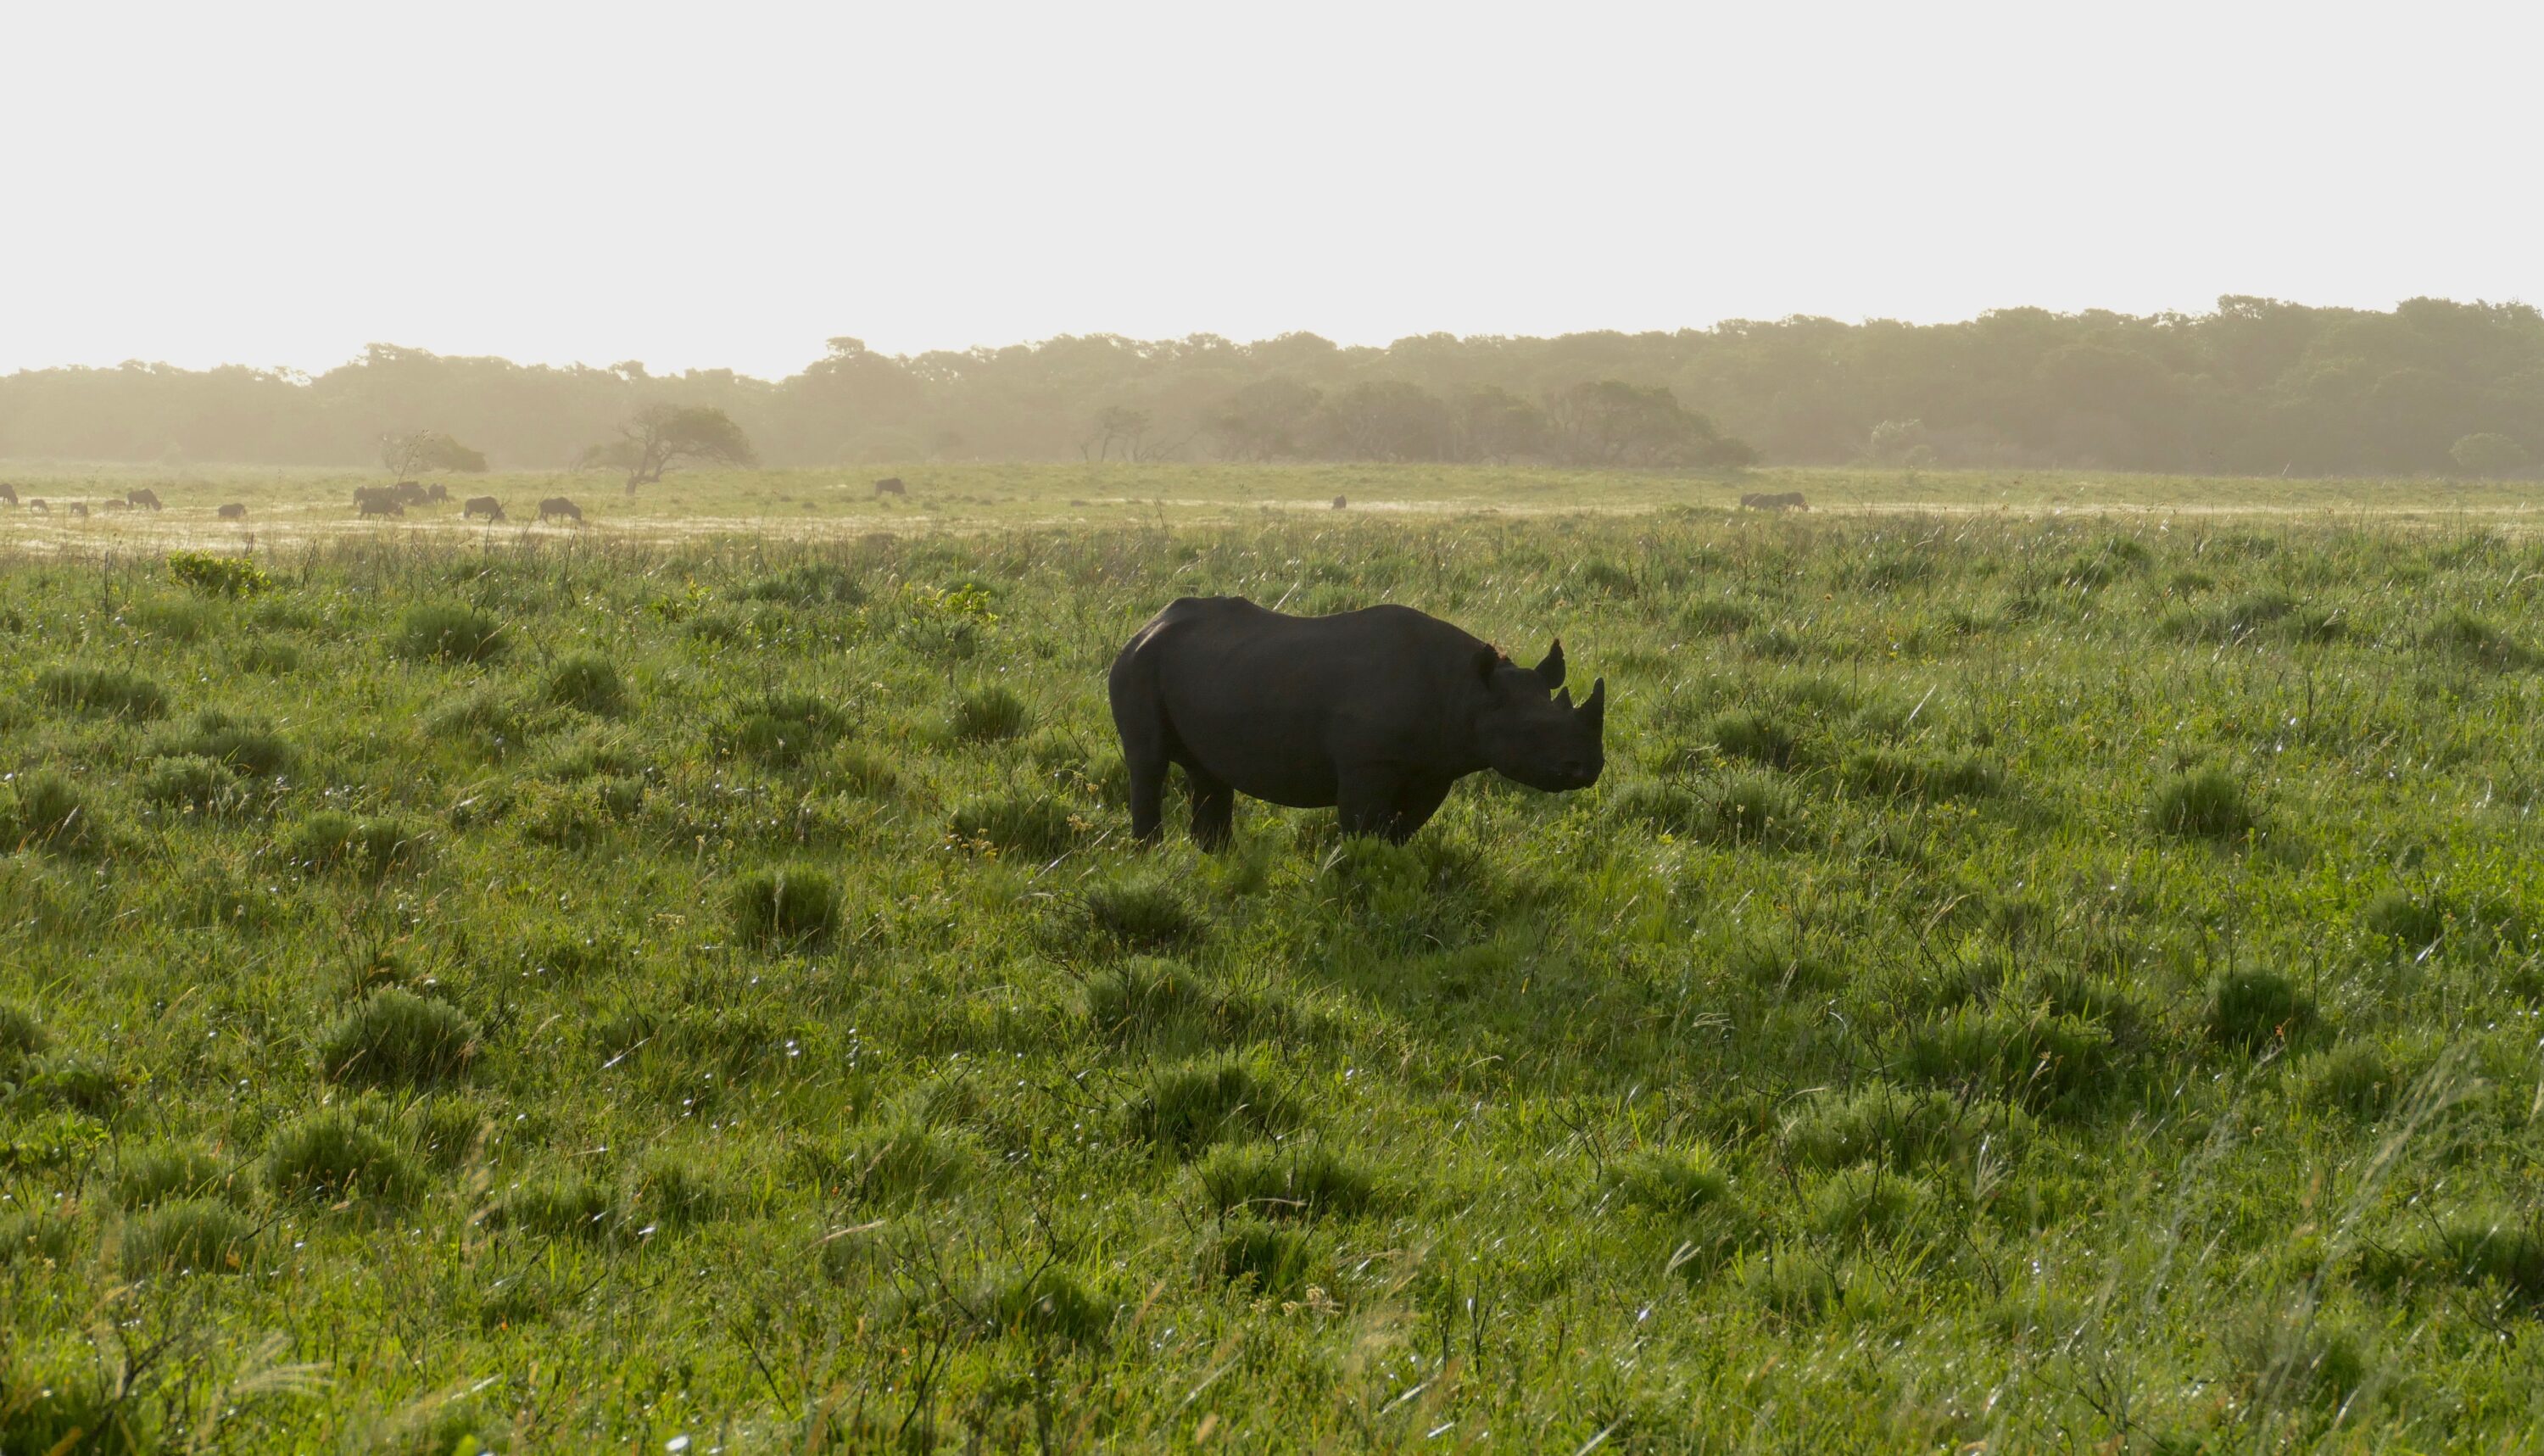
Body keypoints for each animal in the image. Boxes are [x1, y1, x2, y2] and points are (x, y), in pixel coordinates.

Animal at [1109, 597, 1604, 849]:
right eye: (1532, 733)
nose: (1590, 768)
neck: (1470, 691)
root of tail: (1148, 624)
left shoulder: (1435, 767)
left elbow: (1401, 830)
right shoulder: (1367, 765)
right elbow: (1363, 827)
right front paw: (1360, 873)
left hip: (1208, 670)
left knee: (1207, 772)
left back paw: (1215, 859)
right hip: (1138, 664)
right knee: (1148, 762)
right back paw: (1151, 856)